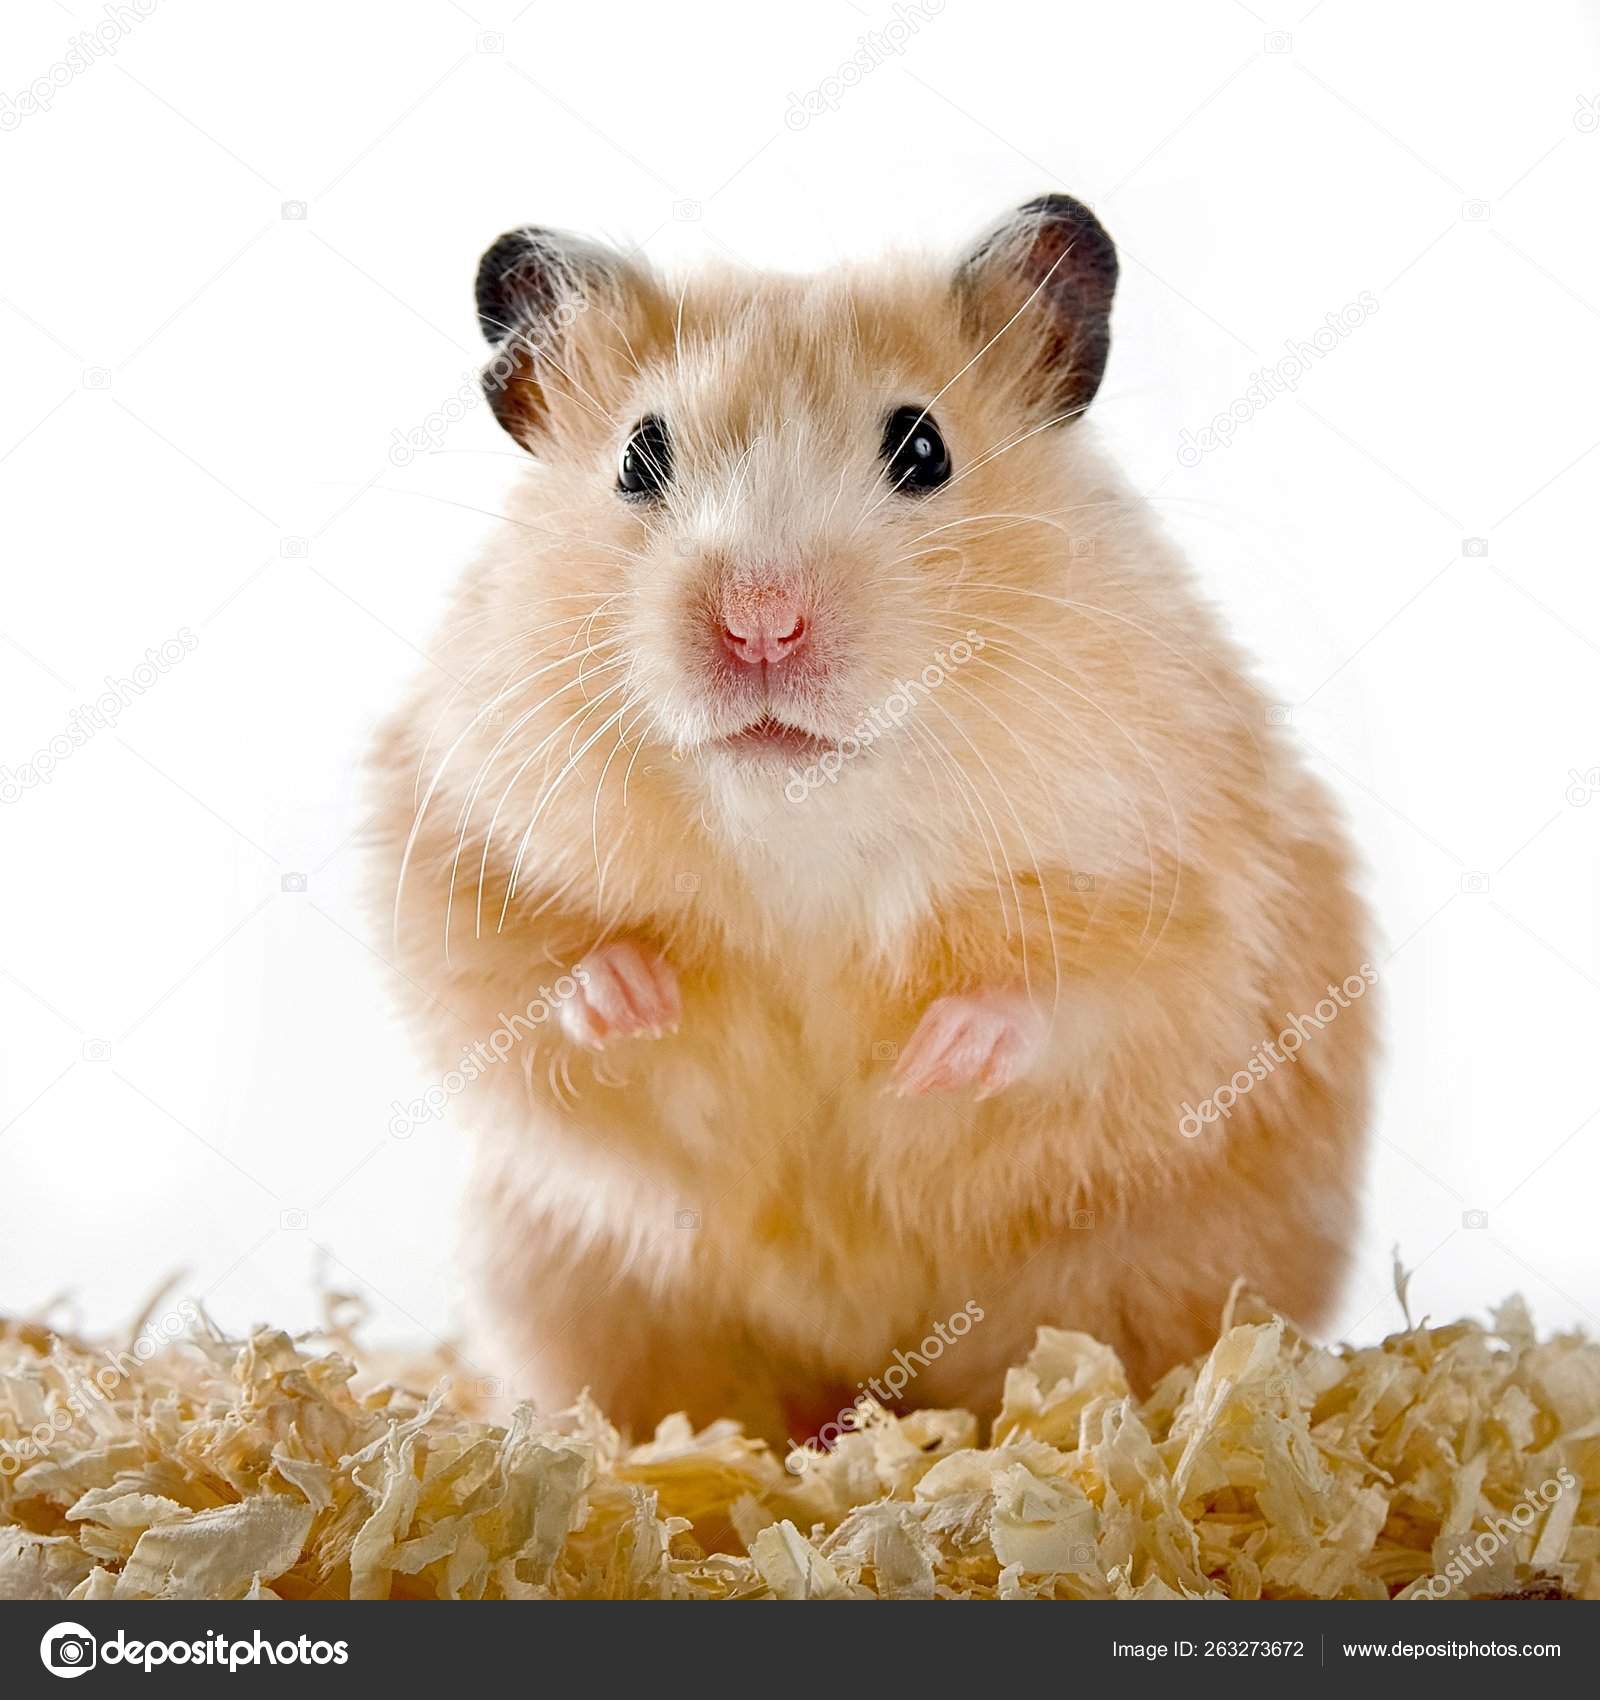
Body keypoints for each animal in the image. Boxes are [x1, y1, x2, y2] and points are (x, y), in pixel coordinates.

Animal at [369, 195, 1374, 1449]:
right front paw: (635, 993)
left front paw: (933, 1056)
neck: (805, 818)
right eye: (638, 457)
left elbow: (1088, 998)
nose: (759, 622)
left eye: (922, 448)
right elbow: (517, 976)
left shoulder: (1194, 887)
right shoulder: (448, 836)